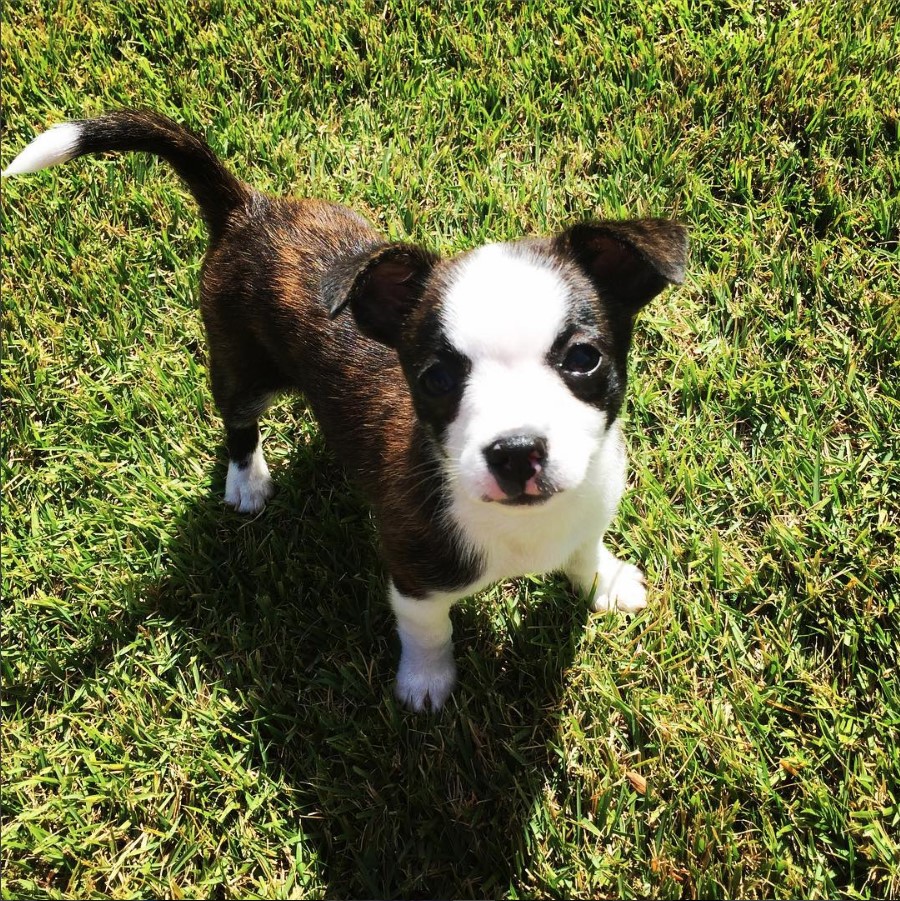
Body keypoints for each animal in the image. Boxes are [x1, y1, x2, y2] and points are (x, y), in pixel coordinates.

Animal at [3, 110, 684, 712]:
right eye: (436, 378)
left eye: (583, 358)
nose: (516, 452)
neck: (526, 524)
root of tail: (247, 208)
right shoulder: (414, 575)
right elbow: (428, 630)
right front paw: (426, 683)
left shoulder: (589, 509)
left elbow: (584, 550)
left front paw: (603, 581)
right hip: (241, 366)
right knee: (237, 421)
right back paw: (247, 480)